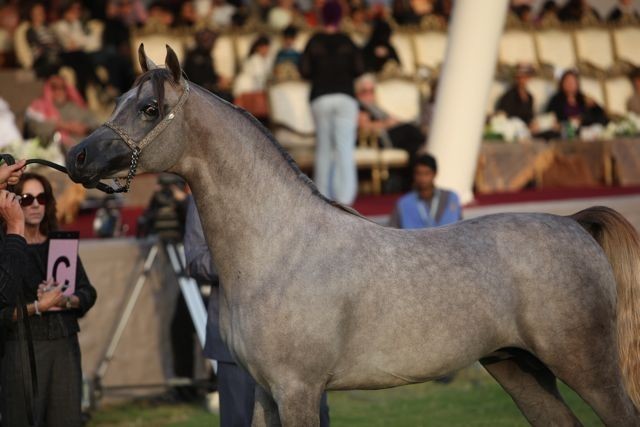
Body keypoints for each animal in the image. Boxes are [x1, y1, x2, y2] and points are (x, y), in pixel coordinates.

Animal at [66, 45, 640, 426]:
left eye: (149, 109)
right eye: (118, 100)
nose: (78, 157)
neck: (279, 250)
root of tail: (573, 224)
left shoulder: (298, 390)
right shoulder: (264, 393)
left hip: (588, 368)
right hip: (517, 367)